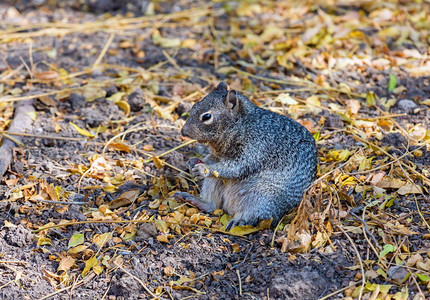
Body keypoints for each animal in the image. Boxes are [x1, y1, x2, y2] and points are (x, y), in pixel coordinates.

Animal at [173, 82, 318, 230]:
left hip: (262, 197)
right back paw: (195, 200)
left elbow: (236, 167)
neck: (243, 124)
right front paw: (193, 161)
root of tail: (230, 209)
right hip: (217, 184)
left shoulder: (256, 148)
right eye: (194, 106)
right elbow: (211, 159)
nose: (183, 132)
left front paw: (204, 169)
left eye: (206, 117)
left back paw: (239, 221)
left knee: (253, 216)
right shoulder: (217, 155)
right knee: (212, 205)